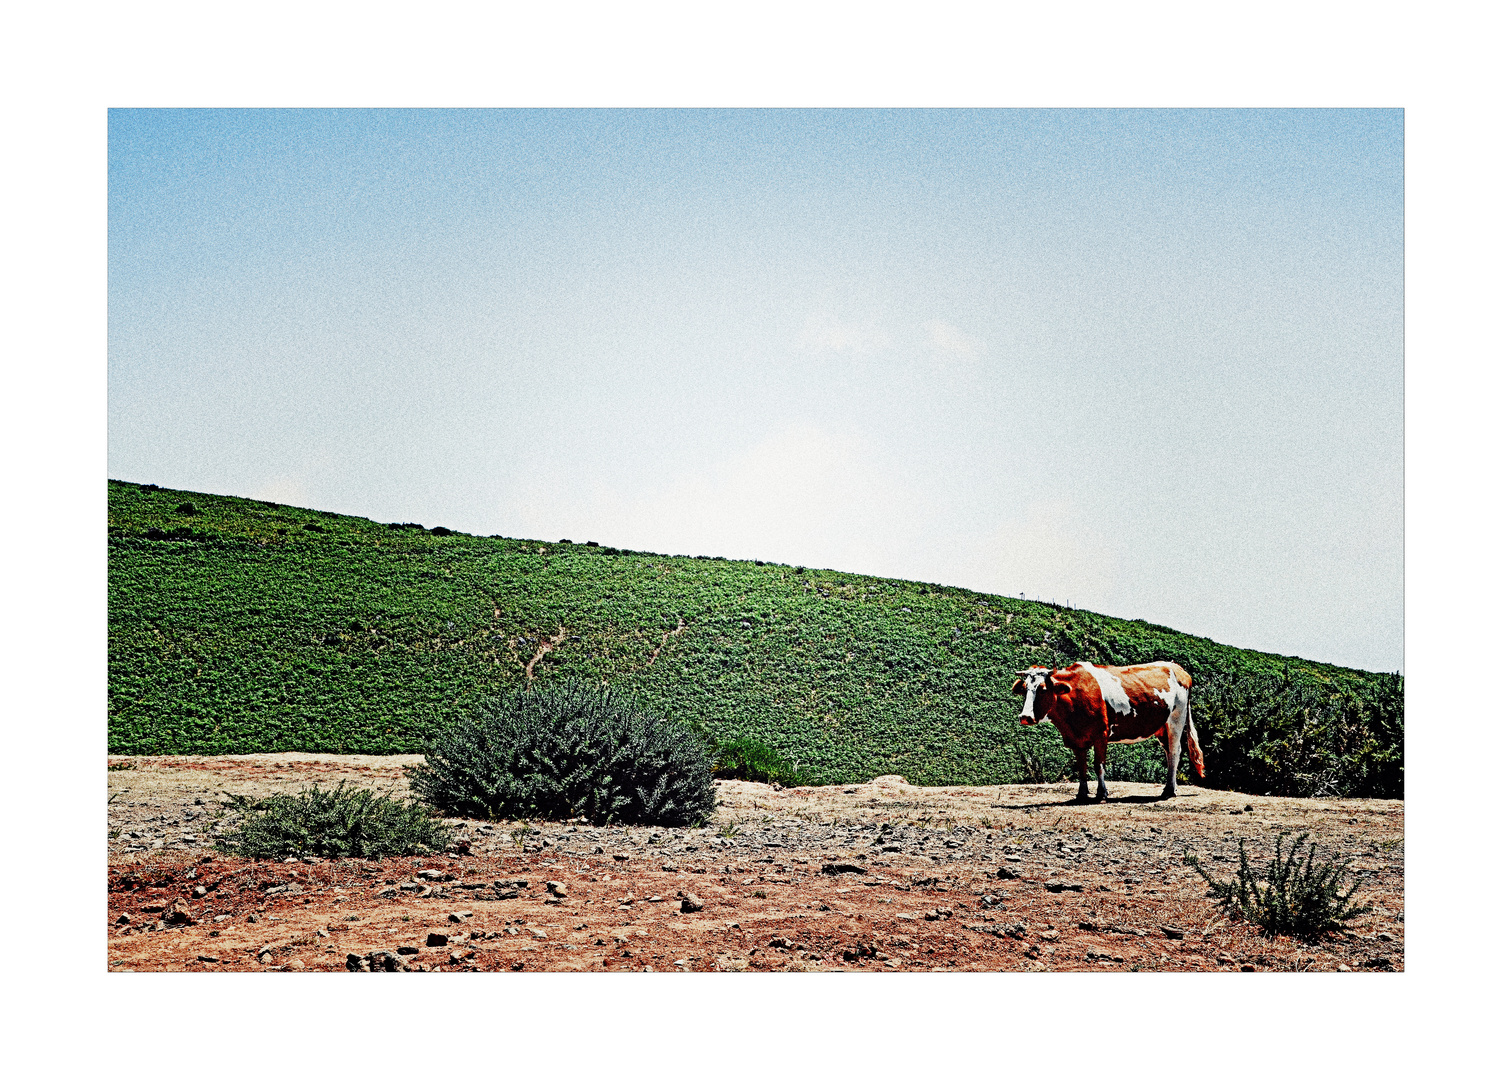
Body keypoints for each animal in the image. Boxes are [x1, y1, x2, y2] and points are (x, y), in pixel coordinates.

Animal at [1010, 656, 1209, 798]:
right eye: (1025, 689)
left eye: (1043, 689)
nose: (1025, 717)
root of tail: (1178, 668)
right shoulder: (1077, 739)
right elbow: (1081, 767)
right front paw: (1082, 793)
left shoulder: (1101, 734)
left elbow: (1098, 765)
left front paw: (1102, 793)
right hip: (1161, 727)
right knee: (1168, 752)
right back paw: (1169, 786)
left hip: (1176, 719)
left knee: (1175, 752)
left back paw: (1169, 790)